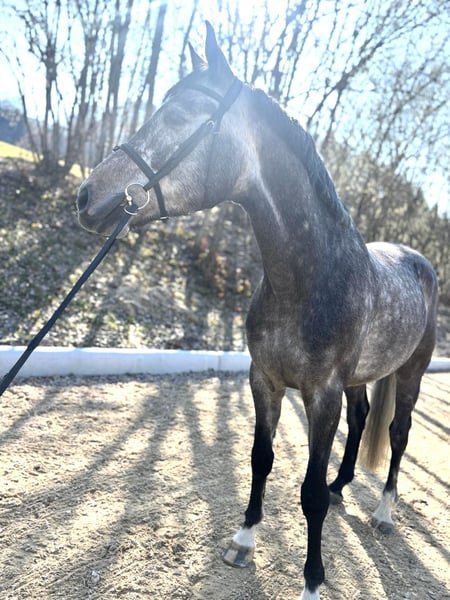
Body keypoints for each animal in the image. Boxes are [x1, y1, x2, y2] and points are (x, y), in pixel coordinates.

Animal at [76, 23, 438, 600]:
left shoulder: (320, 396)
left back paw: (383, 512)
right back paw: (342, 487)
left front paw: (312, 581)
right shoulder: (264, 380)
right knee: (362, 420)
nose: (88, 196)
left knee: (398, 434)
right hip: (361, 378)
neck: (307, 283)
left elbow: (306, 492)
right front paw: (244, 541)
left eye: (180, 114)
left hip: (411, 372)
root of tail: (418, 261)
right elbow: (261, 459)